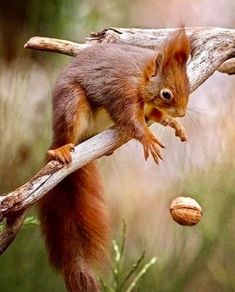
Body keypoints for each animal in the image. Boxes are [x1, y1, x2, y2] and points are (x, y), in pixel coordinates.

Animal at [37, 28, 190, 292]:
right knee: (63, 137)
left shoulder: (147, 107)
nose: (181, 113)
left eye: (189, 85)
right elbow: (131, 120)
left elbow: (155, 115)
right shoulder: (122, 91)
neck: (142, 77)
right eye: (166, 94)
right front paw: (148, 138)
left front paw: (173, 123)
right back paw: (60, 151)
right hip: (71, 104)